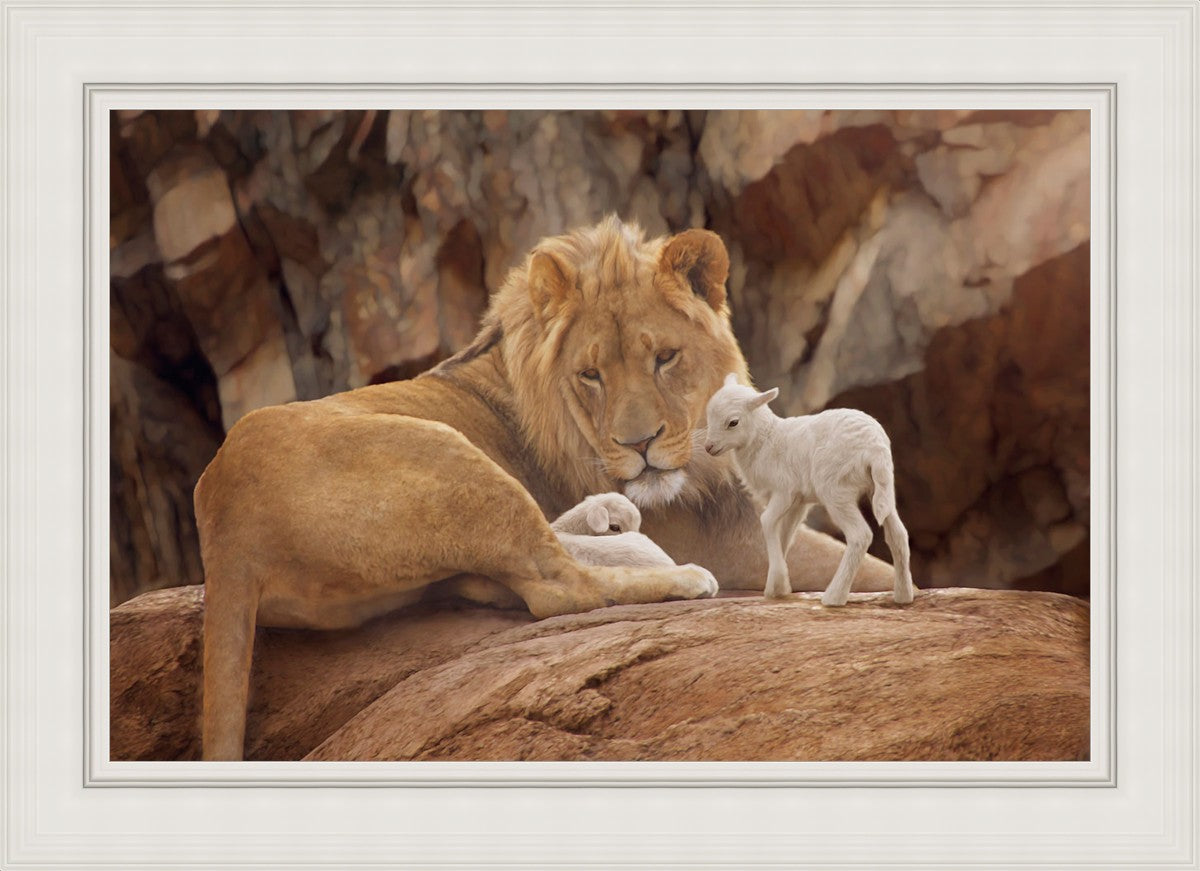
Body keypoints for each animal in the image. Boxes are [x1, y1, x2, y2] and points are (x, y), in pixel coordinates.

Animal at [194, 216, 894, 760]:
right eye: (591, 374)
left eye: (664, 358)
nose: (640, 445)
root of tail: (223, 526)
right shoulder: (734, 543)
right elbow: (870, 566)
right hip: (447, 455)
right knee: (556, 586)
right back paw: (676, 575)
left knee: (513, 572)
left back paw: (609, 519)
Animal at [703, 374, 915, 607]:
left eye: (733, 422)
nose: (708, 447)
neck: (765, 440)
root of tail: (875, 448)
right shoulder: (798, 502)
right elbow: (785, 534)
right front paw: (777, 587)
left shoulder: (784, 491)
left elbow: (766, 521)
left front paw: (778, 582)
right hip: (881, 487)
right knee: (898, 534)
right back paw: (903, 595)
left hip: (835, 489)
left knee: (860, 535)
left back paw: (834, 597)